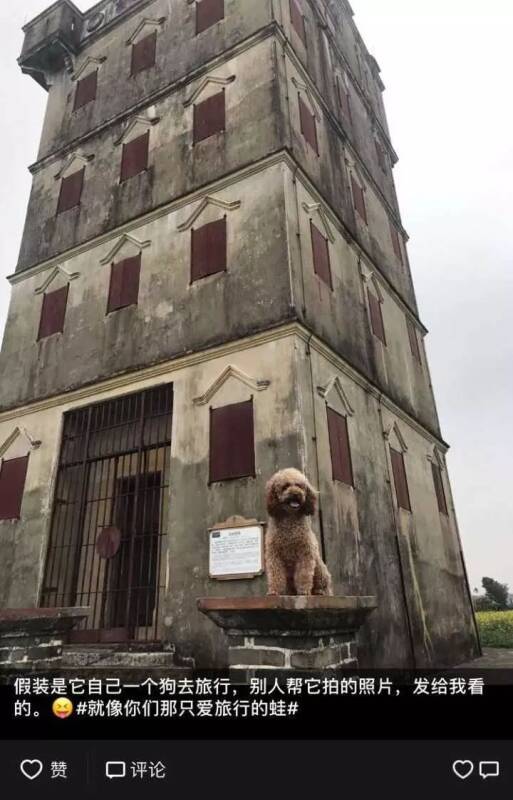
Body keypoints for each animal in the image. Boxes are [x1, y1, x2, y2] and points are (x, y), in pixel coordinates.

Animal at [264, 466, 332, 596]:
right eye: (285, 486)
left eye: (300, 486)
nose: (296, 493)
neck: (290, 520)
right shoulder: (274, 555)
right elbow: (276, 574)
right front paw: (274, 591)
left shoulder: (305, 553)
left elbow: (303, 574)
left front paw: (304, 591)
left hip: (320, 568)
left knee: (323, 585)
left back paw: (319, 592)